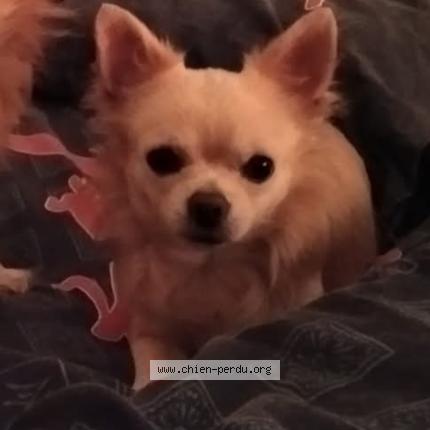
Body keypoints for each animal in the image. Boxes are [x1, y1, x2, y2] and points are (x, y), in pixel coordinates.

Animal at [89, 3, 376, 388]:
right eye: (162, 160)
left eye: (261, 167)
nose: (208, 205)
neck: (210, 268)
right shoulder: (150, 324)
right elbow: (154, 364)